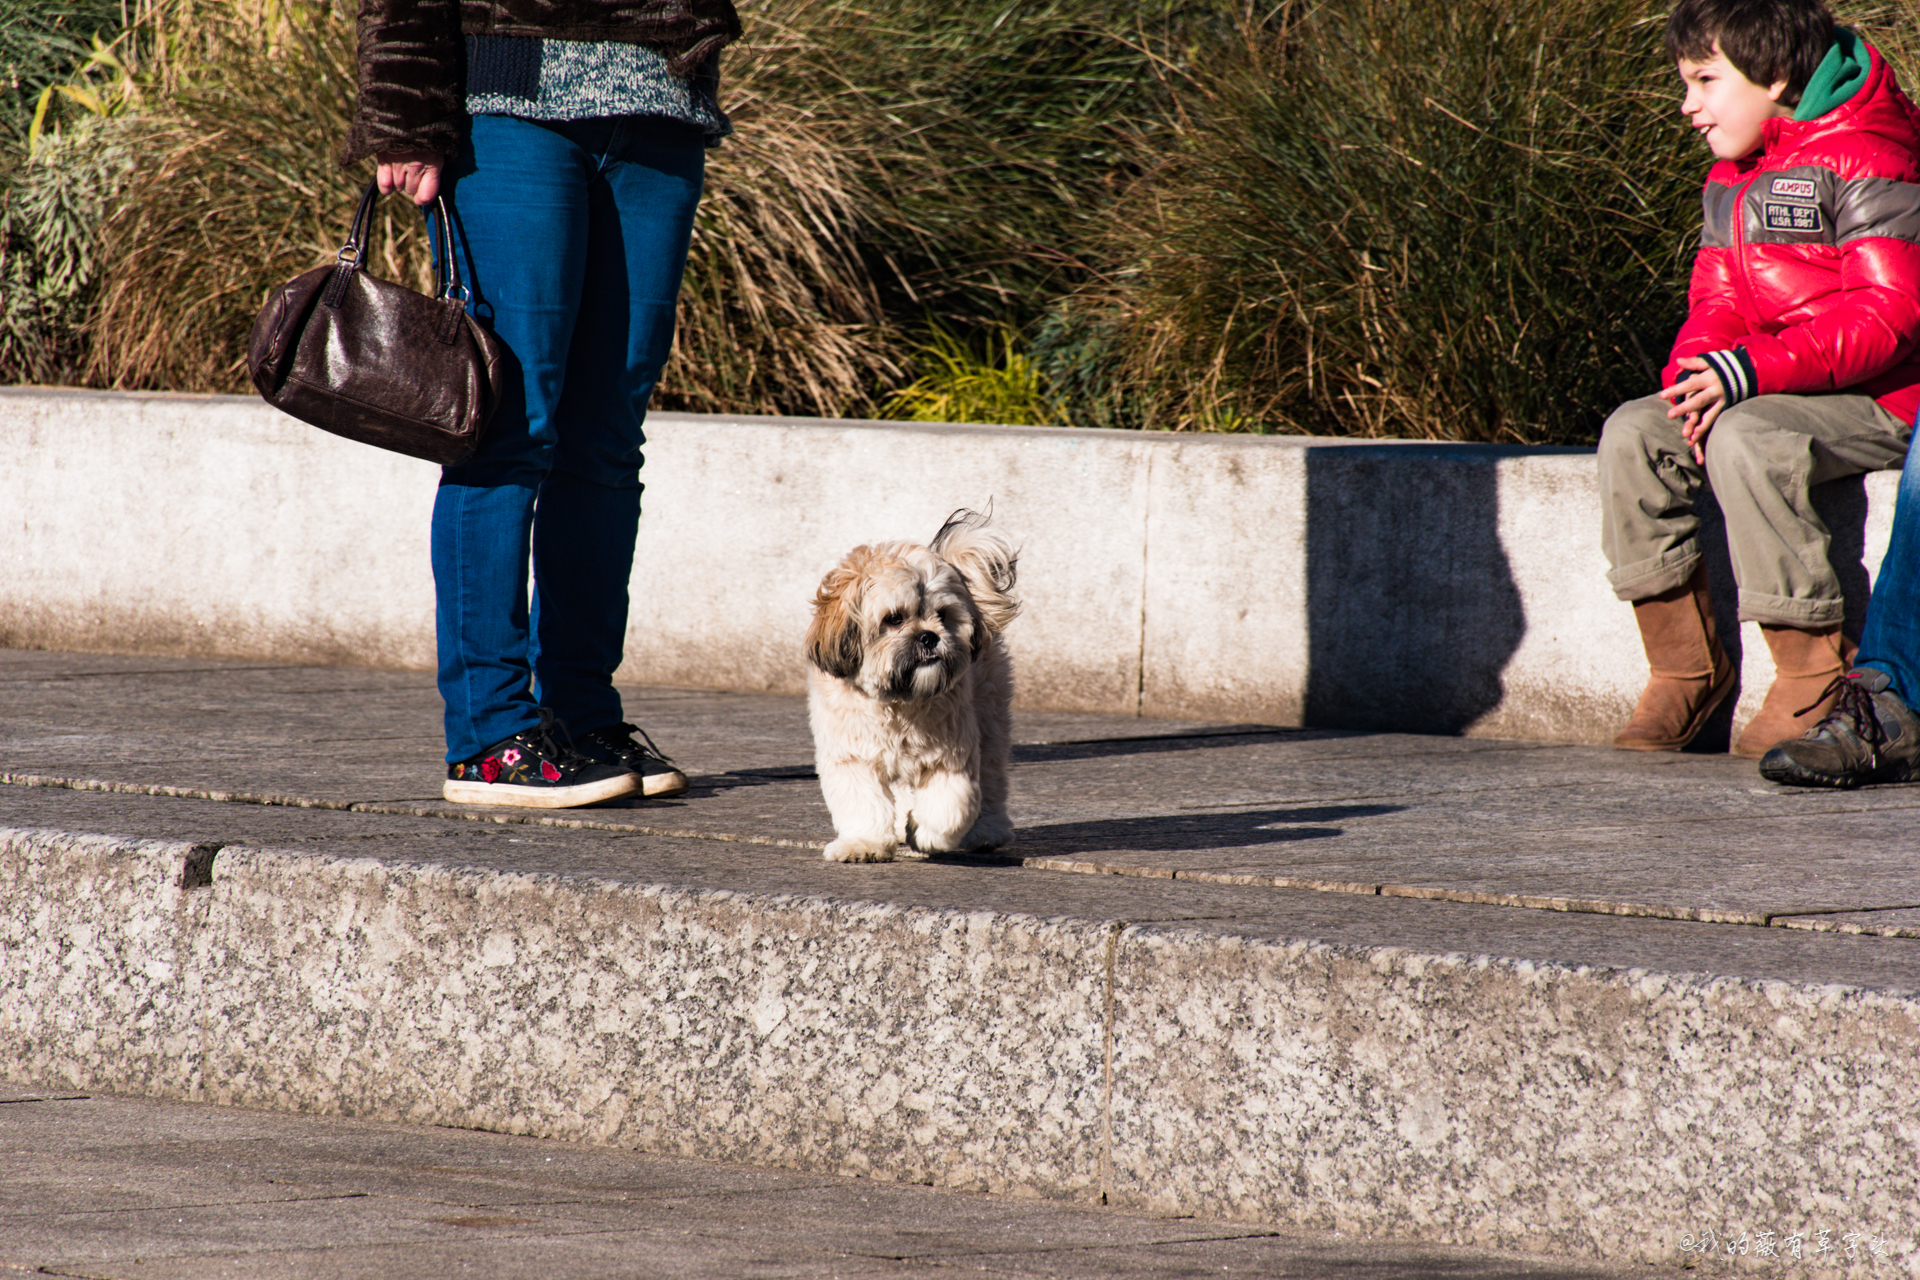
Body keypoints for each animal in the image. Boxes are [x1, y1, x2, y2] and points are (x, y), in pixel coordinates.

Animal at [806, 506, 1021, 859]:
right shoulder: (854, 758)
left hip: (990, 719)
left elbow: (948, 806)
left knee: (991, 777)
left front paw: (927, 834)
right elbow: (864, 805)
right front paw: (863, 844)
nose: (929, 637)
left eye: (943, 615)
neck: (897, 702)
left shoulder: (950, 756)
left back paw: (987, 831)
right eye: (894, 619)